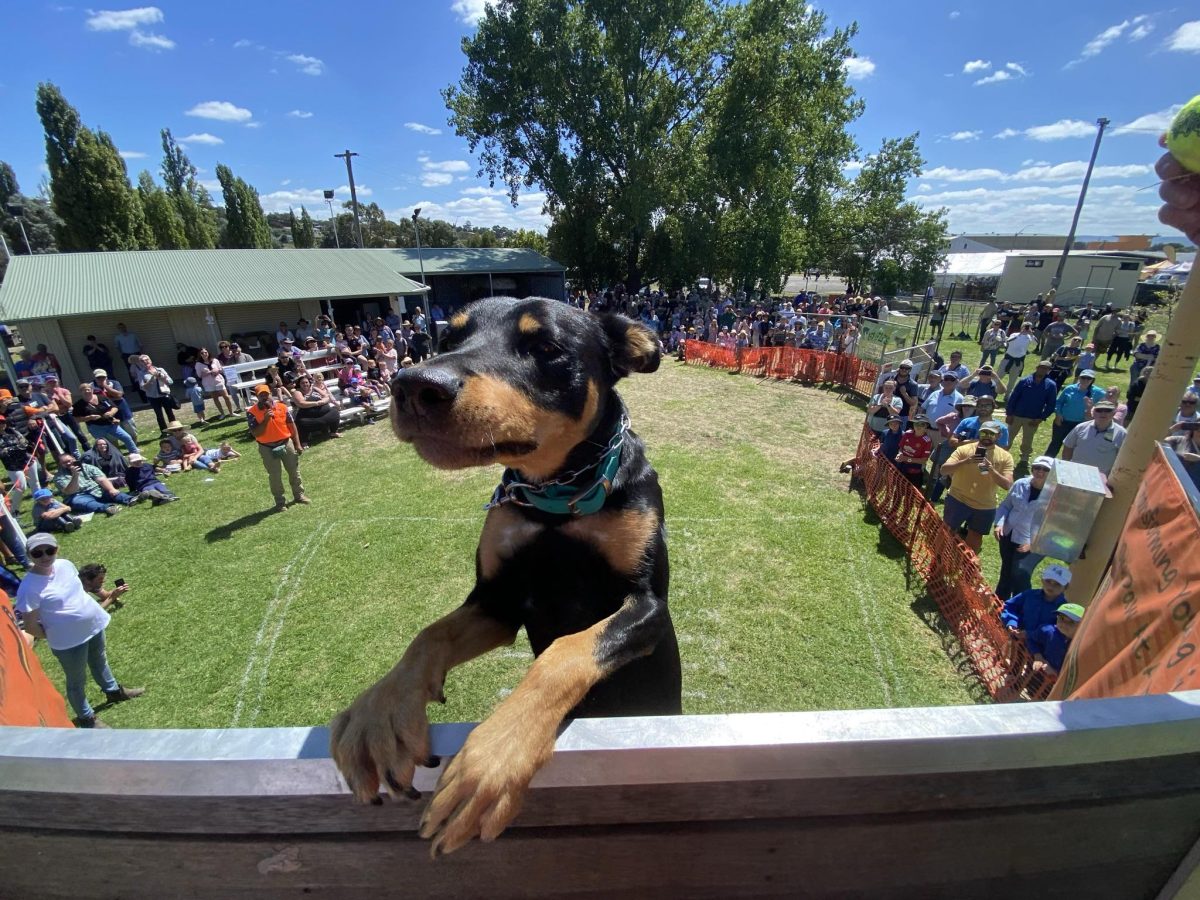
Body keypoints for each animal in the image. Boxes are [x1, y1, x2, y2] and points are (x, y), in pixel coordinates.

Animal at [333, 297, 681, 859]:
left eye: (546, 347)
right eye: (447, 339)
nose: (413, 385)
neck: (557, 497)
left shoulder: (648, 604)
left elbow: (566, 653)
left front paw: (493, 758)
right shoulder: (498, 603)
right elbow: (429, 636)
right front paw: (379, 714)